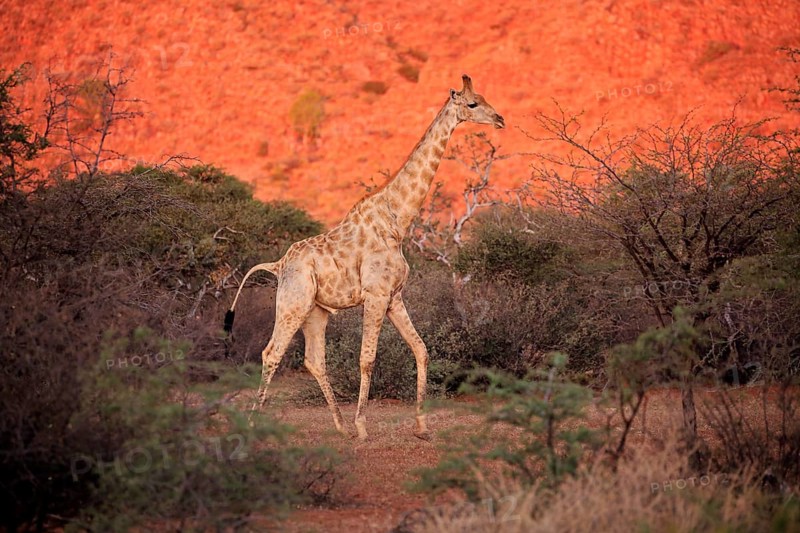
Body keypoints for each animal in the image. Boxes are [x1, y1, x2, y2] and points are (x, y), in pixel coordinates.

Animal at [225, 75, 504, 440]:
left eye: (484, 98)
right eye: (472, 104)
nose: (500, 119)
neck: (398, 220)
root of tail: (278, 265)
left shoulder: (394, 296)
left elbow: (421, 349)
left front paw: (421, 426)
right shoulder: (375, 294)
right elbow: (367, 359)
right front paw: (363, 426)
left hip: (316, 311)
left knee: (314, 359)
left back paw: (340, 426)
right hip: (292, 303)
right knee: (272, 352)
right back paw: (256, 423)